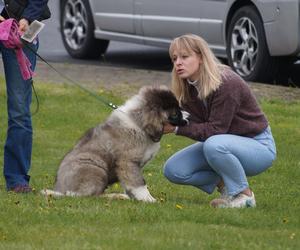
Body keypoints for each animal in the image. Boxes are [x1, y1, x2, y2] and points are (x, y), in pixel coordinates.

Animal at [42, 85, 188, 202]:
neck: (139, 124)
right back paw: (114, 196)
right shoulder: (128, 162)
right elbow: (139, 183)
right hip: (96, 169)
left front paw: (135, 198)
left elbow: (130, 183)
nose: (189, 116)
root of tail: (60, 191)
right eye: (175, 113)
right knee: (87, 196)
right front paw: (149, 199)